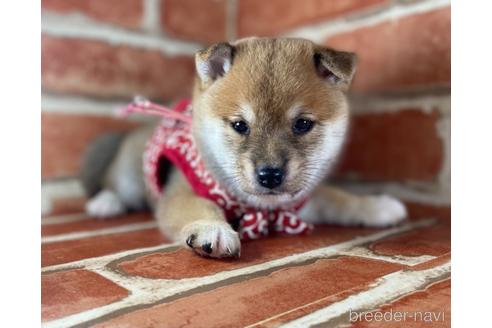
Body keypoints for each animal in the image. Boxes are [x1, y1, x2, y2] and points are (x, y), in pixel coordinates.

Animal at [81, 37, 408, 258]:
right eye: (240, 125)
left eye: (302, 124)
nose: (270, 175)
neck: (261, 208)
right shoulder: (181, 191)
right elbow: (198, 206)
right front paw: (211, 228)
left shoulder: (300, 203)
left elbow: (338, 199)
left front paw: (375, 206)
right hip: (129, 179)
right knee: (113, 187)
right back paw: (104, 204)